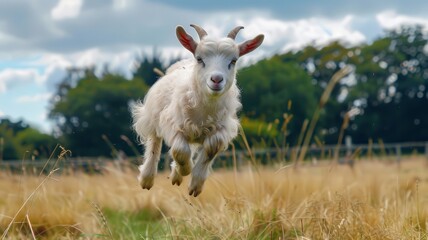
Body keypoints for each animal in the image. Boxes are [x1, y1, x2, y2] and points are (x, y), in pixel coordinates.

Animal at [131, 24, 264, 197]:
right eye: (200, 59)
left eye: (233, 60)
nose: (216, 79)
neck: (204, 110)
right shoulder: (173, 123)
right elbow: (180, 151)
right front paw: (185, 170)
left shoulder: (221, 129)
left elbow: (211, 148)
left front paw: (195, 185)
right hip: (153, 115)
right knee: (154, 142)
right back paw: (147, 178)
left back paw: (175, 176)